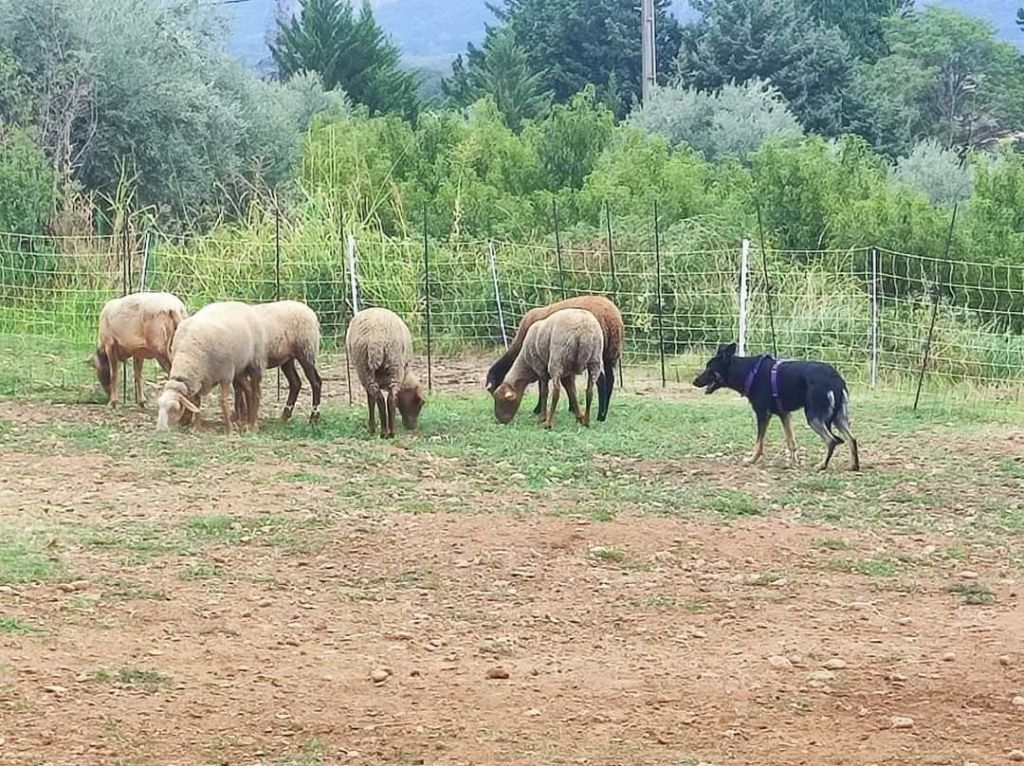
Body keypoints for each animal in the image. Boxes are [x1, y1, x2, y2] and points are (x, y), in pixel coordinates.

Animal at [155, 301, 266, 434]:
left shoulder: (226, 375)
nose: (160, 430)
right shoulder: (198, 378)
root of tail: (242, 304)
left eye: (174, 408)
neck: (189, 355)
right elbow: (196, 402)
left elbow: (223, 401)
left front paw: (229, 431)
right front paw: (197, 428)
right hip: (239, 369)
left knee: (256, 392)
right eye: (159, 405)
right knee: (248, 390)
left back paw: (253, 425)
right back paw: (247, 421)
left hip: (255, 361)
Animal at [344, 305, 423, 436]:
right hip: (394, 363)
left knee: (379, 398)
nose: (412, 427)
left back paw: (382, 432)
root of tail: (376, 338)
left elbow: (370, 400)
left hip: (365, 368)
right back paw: (391, 432)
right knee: (391, 398)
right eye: (419, 404)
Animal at [692, 342, 860, 469]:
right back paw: (854, 466)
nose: (694, 382)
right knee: (851, 439)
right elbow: (791, 441)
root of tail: (835, 379)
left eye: (709, 369)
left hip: (814, 417)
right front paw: (793, 463)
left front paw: (752, 460)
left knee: (831, 440)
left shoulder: (763, 415)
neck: (749, 371)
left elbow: (759, 443)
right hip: (838, 417)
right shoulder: (784, 415)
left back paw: (822, 465)